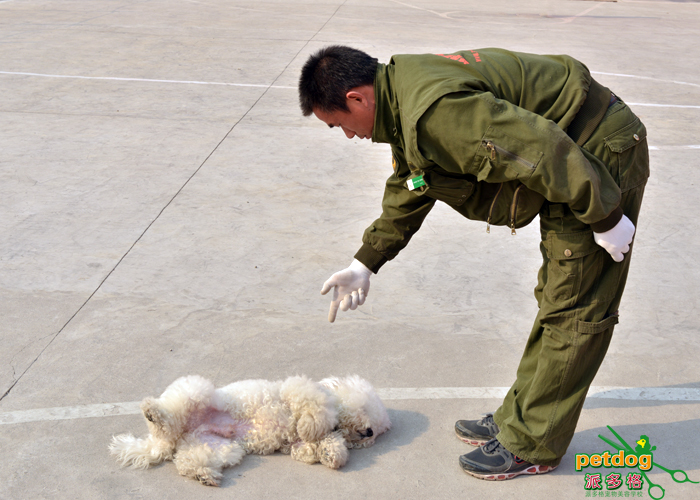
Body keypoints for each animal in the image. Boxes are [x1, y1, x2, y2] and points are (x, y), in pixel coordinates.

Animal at [112, 376, 392, 484]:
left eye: (377, 432)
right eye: (365, 408)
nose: (369, 433)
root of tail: (164, 442)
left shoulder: (299, 445)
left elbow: (312, 446)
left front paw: (330, 453)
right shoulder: (298, 389)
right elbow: (313, 410)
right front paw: (311, 426)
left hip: (218, 447)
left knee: (186, 461)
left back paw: (204, 474)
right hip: (194, 392)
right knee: (168, 416)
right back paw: (154, 412)